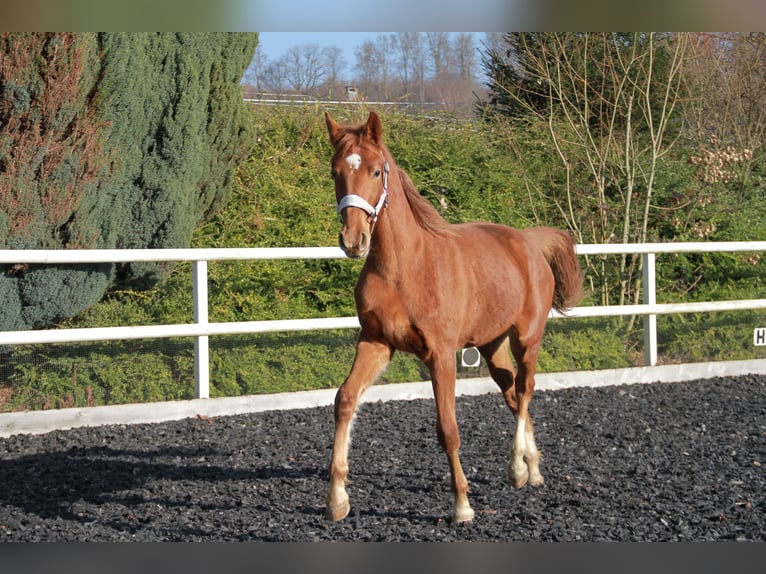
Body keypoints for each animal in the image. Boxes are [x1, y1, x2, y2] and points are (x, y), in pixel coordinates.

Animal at [322, 111, 584, 528]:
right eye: (335, 172)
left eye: (377, 171)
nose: (353, 240)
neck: (403, 269)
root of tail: (529, 242)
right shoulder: (375, 343)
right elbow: (345, 400)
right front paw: (337, 500)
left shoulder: (441, 355)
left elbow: (448, 429)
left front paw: (462, 505)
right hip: (492, 345)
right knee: (512, 394)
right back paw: (532, 468)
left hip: (527, 338)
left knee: (526, 391)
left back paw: (517, 467)